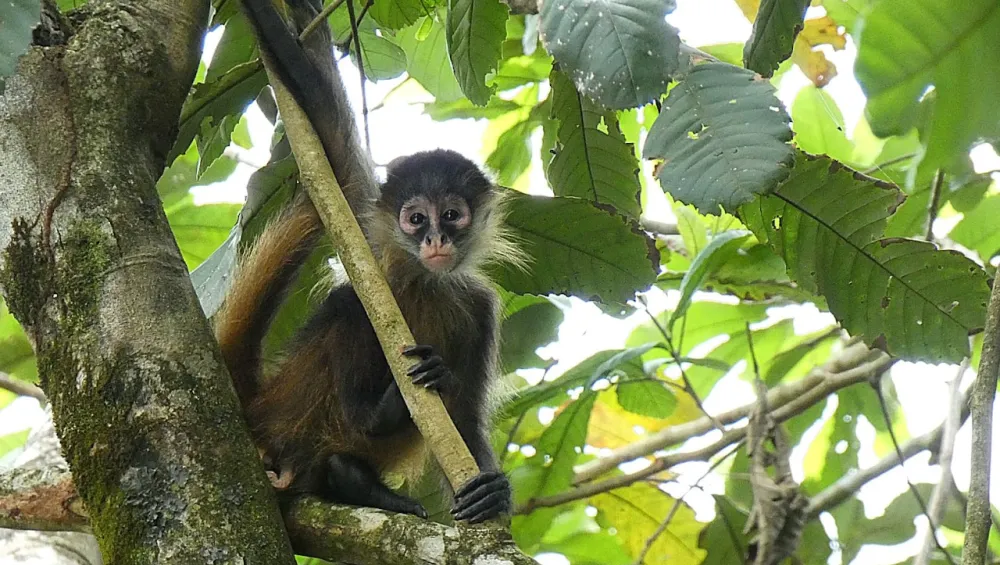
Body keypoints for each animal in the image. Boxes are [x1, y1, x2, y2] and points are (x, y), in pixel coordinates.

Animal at [213, 0, 524, 524]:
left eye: (452, 215)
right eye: (416, 218)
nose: (435, 238)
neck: (422, 281)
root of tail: (261, 410)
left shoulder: (481, 305)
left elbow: (464, 419)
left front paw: (492, 493)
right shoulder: (367, 239)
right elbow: (334, 146)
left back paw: (350, 476)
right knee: (347, 305)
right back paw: (378, 416)